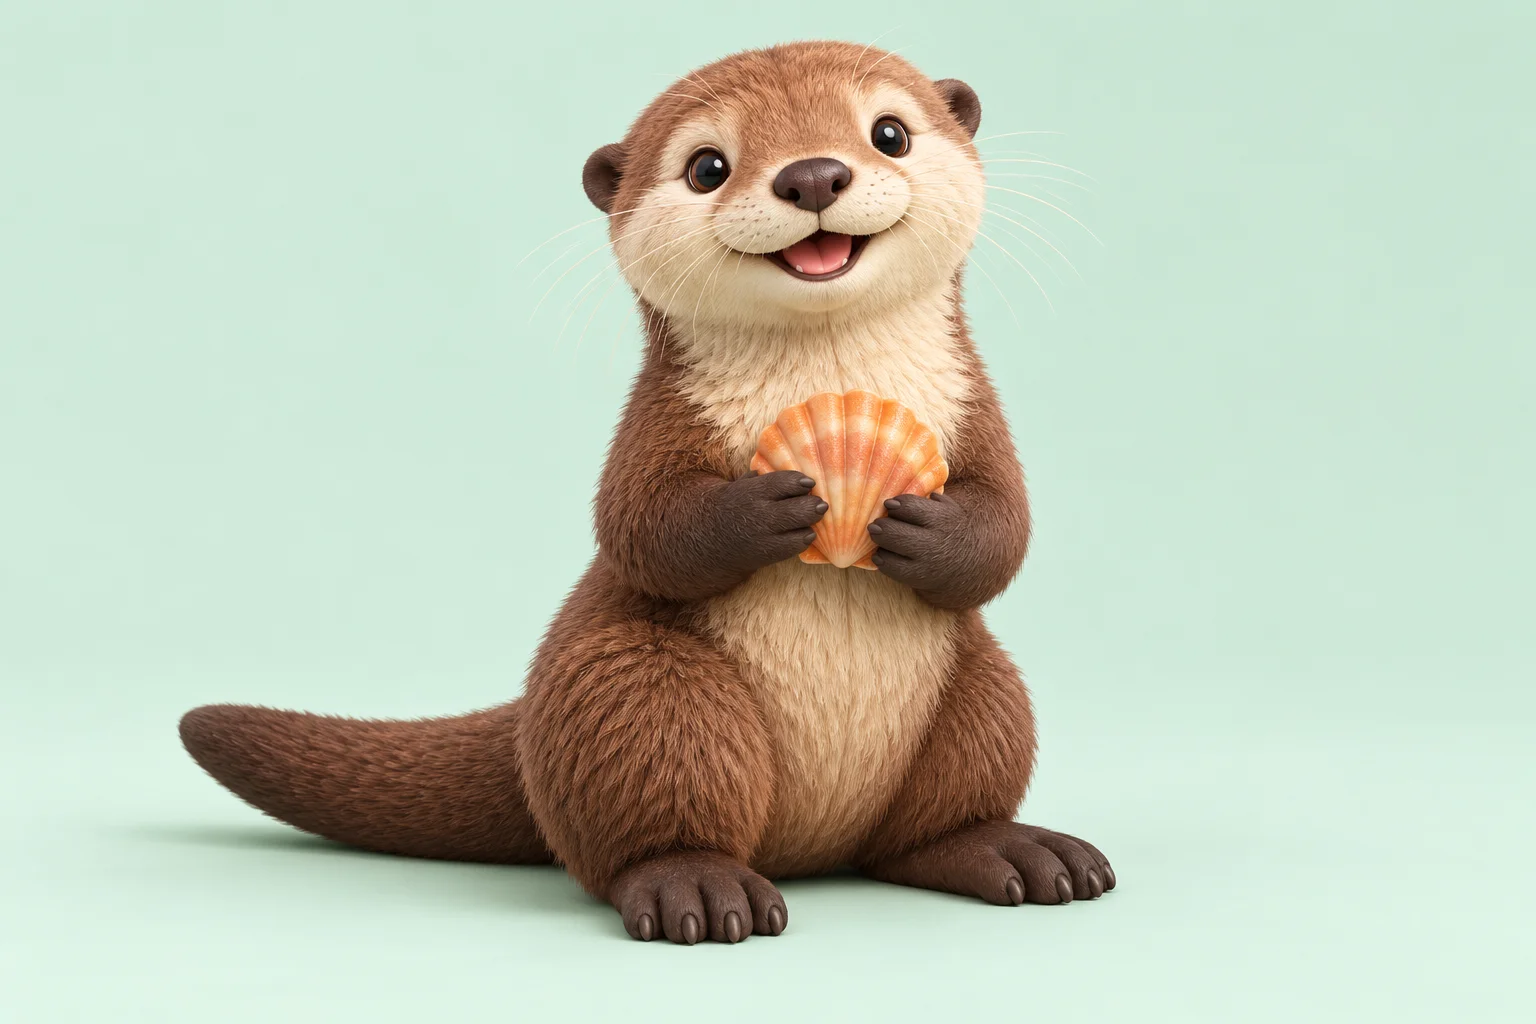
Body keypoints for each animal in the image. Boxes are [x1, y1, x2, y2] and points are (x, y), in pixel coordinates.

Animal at [179, 40, 1115, 945]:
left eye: (889, 133)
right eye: (707, 165)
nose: (813, 175)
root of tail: (812, 850)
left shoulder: (976, 409)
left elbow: (1007, 526)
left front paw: (925, 529)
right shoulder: (654, 421)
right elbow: (637, 526)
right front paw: (765, 507)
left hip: (981, 692)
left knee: (933, 813)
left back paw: (1013, 851)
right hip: (636, 686)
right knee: (646, 805)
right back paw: (690, 886)